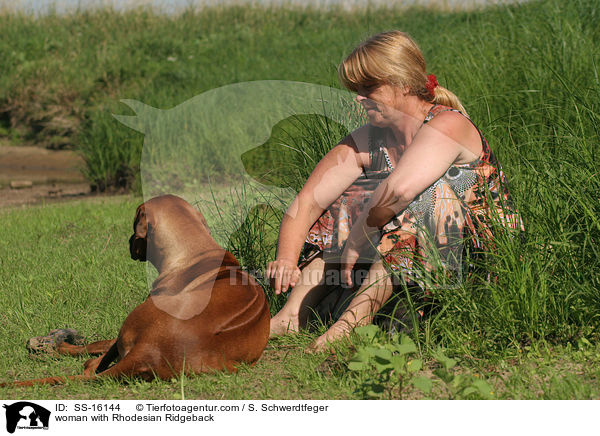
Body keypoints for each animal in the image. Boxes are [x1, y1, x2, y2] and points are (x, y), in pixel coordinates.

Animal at [4, 196, 270, 386]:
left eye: (133, 225)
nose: (129, 241)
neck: (193, 250)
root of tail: (150, 351)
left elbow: (98, 344)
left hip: (130, 323)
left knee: (92, 364)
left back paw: (59, 349)